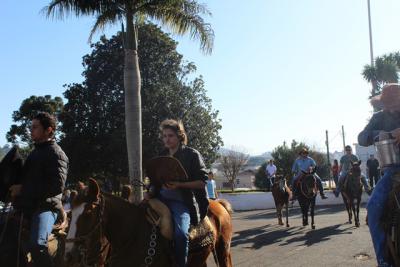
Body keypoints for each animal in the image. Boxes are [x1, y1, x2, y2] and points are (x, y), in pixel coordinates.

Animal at [65, 178, 234, 267]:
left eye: (88, 213)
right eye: (70, 214)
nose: (69, 256)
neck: (132, 235)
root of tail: (218, 203)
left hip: (223, 249)